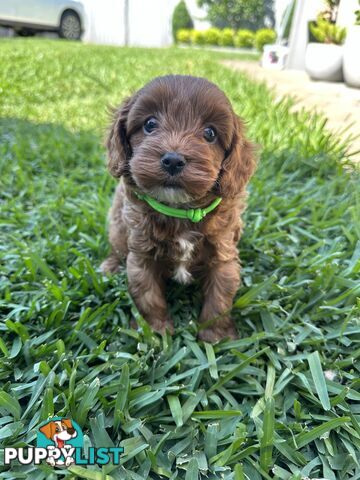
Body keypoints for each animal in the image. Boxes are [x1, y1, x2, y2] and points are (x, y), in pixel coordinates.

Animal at [101, 75, 256, 342]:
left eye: (210, 133)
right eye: (150, 124)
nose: (173, 160)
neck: (180, 210)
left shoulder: (224, 254)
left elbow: (220, 298)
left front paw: (216, 336)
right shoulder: (141, 255)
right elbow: (148, 296)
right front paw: (155, 332)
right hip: (119, 225)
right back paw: (110, 266)